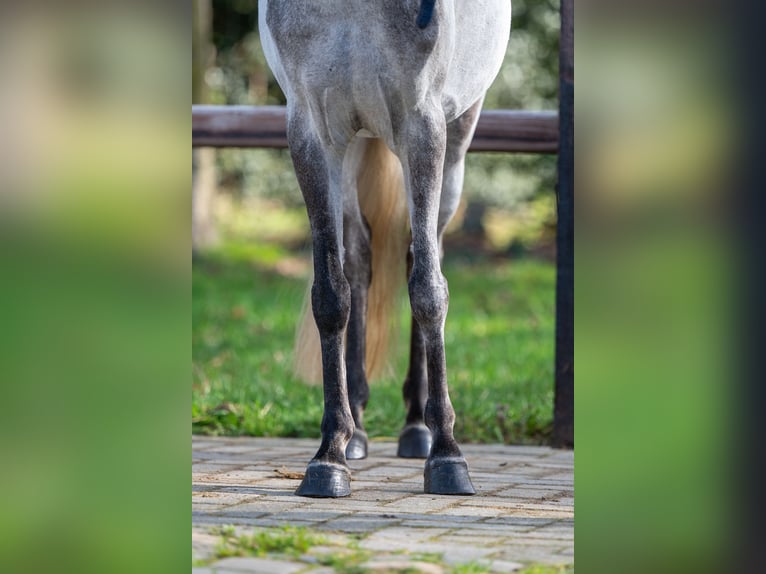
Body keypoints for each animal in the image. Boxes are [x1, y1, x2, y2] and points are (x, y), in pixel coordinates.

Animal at [259, 0, 511, 497]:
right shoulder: (312, 132)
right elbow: (330, 296)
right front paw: (329, 455)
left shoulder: (423, 125)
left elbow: (429, 292)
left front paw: (448, 453)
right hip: (355, 143)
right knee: (358, 259)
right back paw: (356, 427)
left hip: (457, 134)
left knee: (422, 252)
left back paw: (418, 426)